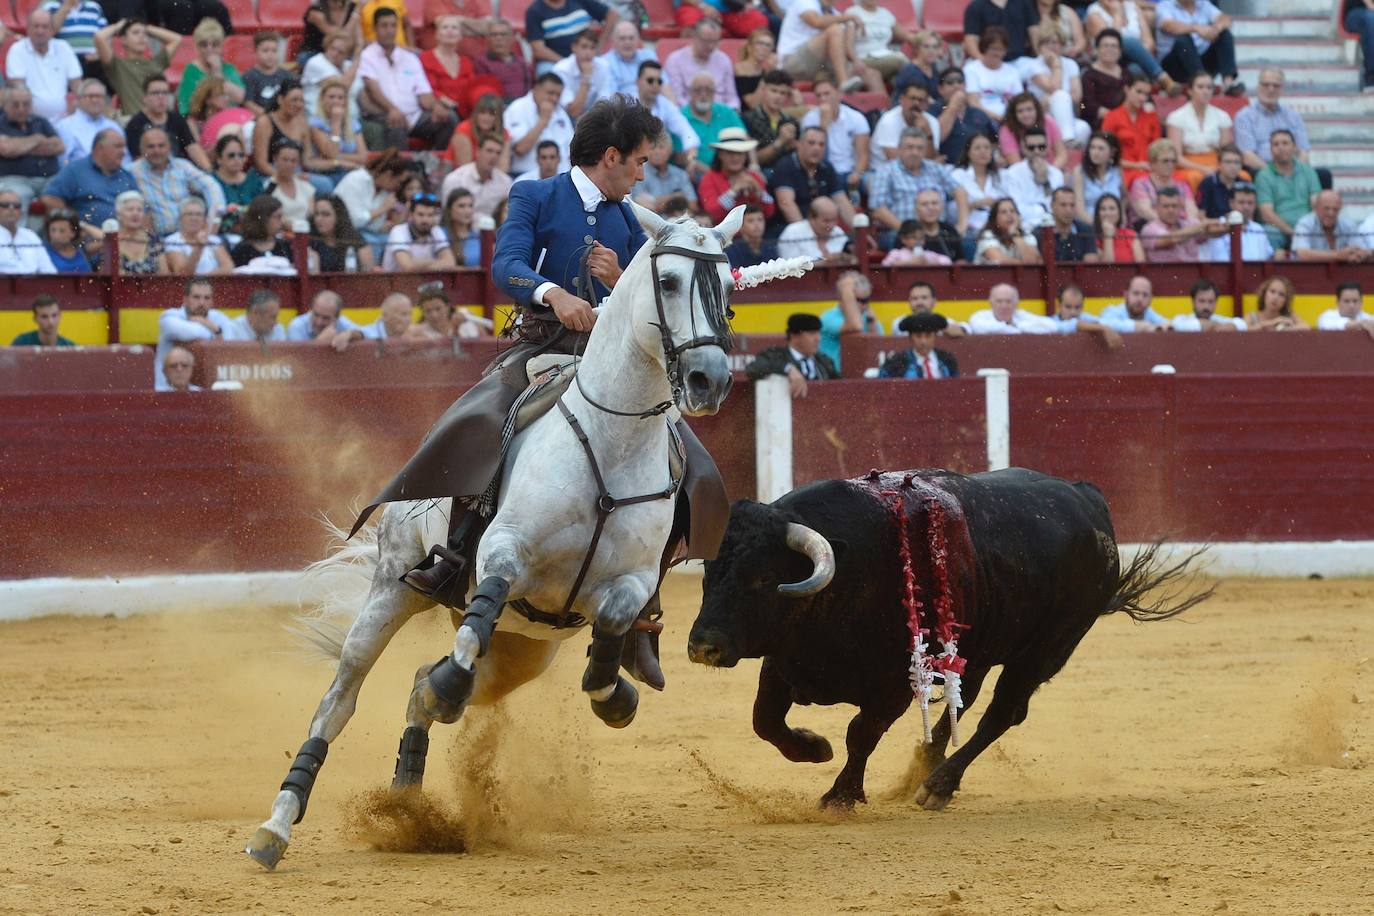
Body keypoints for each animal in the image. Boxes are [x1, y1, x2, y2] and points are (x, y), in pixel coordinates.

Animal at [245, 201, 763, 873]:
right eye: (669, 282)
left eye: (727, 288)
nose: (708, 380)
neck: (613, 437)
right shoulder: (504, 550)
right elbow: (476, 617)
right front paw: (450, 686)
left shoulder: (629, 584)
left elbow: (607, 641)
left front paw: (617, 695)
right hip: (392, 589)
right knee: (342, 698)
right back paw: (276, 825)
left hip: (525, 652)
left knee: (421, 686)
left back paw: (407, 804)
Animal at [681, 472, 1209, 807]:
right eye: (709, 571)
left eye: (764, 577)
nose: (703, 645)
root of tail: (1087, 498)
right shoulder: (783, 663)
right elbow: (765, 721)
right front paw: (814, 748)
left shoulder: (893, 686)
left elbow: (860, 735)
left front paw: (841, 795)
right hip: (976, 648)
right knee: (965, 700)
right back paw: (922, 768)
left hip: (1048, 648)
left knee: (1002, 714)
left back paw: (938, 785)